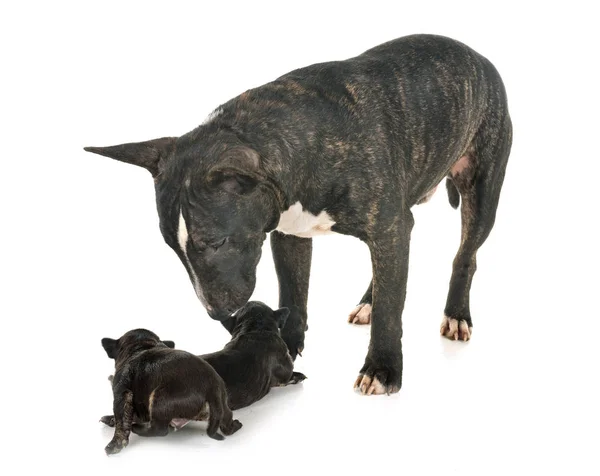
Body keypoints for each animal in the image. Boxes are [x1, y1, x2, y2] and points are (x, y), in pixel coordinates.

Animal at [101, 330, 241, 456]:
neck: (140, 347)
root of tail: (213, 389)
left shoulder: (121, 393)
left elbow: (121, 420)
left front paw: (114, 445)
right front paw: (111, 419)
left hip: (159, 400)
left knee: (160, 429)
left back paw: (138, 428)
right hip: (222, 407)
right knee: (227, 421)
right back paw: (235, 425)